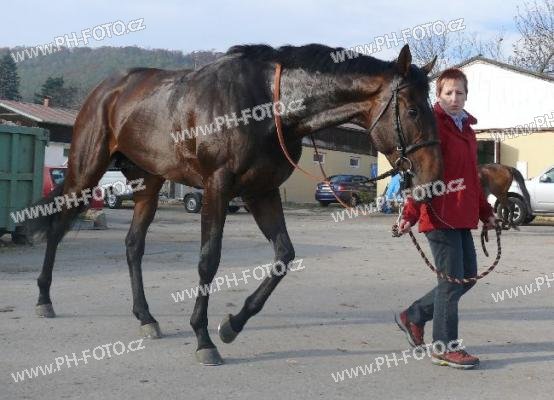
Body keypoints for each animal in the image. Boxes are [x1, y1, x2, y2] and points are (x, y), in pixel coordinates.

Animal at [26, 43, 443, 366]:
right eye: (412, 110)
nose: (432, 174)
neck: (269, 105)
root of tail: (105, 90)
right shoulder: (217, 187)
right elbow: (209, 260)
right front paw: (203, 338)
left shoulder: (262, 192)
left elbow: (284, 255)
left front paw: (232, 325)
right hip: (86, 170)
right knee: (57, 227)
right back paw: (44, 298)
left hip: (149, 181)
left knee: (133, 245)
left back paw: (145, 317)